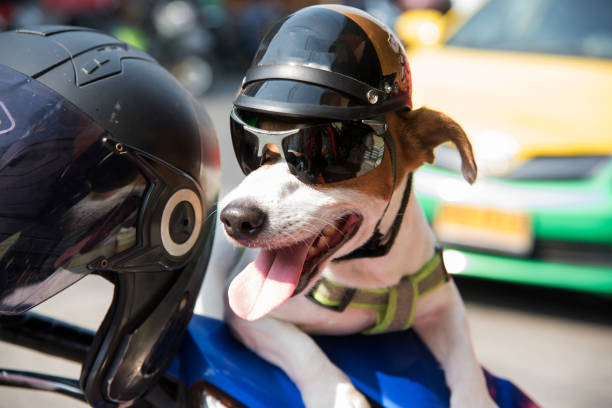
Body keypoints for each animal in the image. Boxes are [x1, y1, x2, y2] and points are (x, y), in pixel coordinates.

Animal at [219, 106, 498, 408]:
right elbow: (303, 350)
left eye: (319, 160)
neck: (369, 271)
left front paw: (477, 400)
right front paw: (339, 396)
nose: (235, 219)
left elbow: (466, 360)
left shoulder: (444, 305)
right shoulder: (249, 318)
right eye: (255, 154)